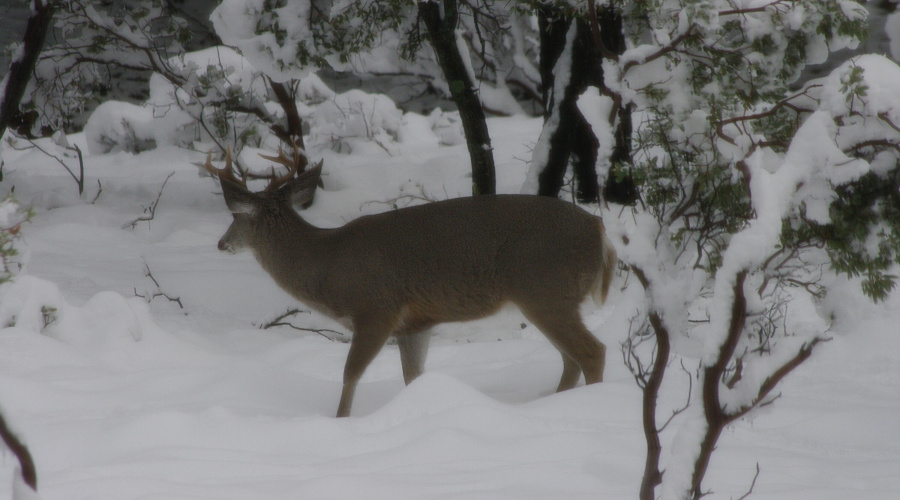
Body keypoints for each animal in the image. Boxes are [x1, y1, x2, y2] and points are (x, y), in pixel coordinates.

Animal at [205, 145, 617, 417]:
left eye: (236, 216)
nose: (221, 243)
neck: (327, 263)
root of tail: (599, 230)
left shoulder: (376, 309)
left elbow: (350, 374)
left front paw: (340, 423)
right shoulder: (416, 324)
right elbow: (413, 377)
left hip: (546, 289)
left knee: (591, 351)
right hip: (551, 297)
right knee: (570, 359)